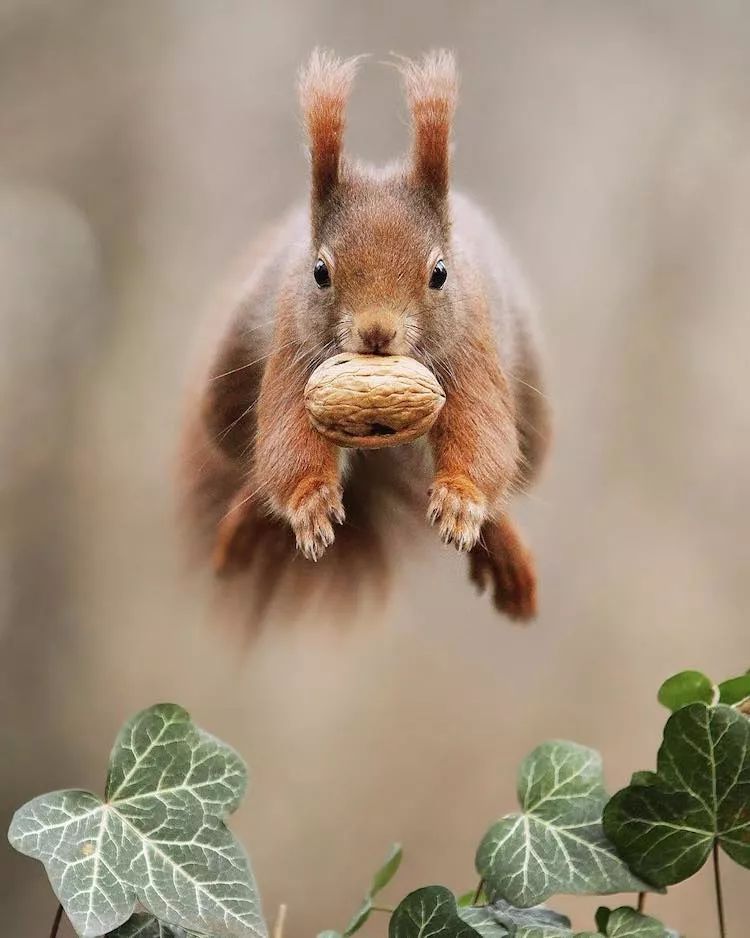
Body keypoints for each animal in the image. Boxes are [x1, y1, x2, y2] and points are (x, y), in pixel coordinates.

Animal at [178, 49, 548, 620]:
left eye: (440, 272)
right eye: (319, 272)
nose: (377, 332)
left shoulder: (470, 344)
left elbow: (483, 433)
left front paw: (461, 500)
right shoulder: (296, 348)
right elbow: (287, 437)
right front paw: (309, 504)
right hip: (225, 387)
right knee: (255, 470)